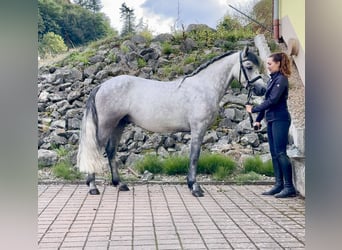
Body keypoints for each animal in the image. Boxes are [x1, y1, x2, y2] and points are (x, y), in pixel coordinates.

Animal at [78, 46, 268, 196]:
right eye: (249, 66)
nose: (262, 89)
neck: (204, 87)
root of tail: (102, 85)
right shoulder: (198, 128)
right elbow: (194, 156)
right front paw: (195, 187)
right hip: (106, 126)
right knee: (95, 150)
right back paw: (93, 186)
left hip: (119, 124)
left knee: (111, 151)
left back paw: (120, 184)